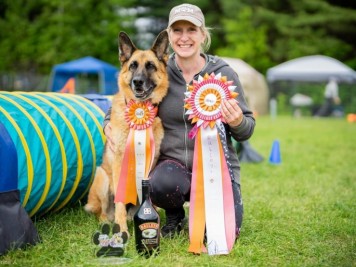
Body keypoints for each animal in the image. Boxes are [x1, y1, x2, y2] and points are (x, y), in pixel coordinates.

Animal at [85, 30, 170, 233]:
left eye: (150, 66)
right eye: (133, 66)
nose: (137, 82)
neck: (140, 110)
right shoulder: (118, 164)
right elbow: (120, 203)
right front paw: (122, 230)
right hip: (102, 177)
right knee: (103, 213)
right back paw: (109, 221)